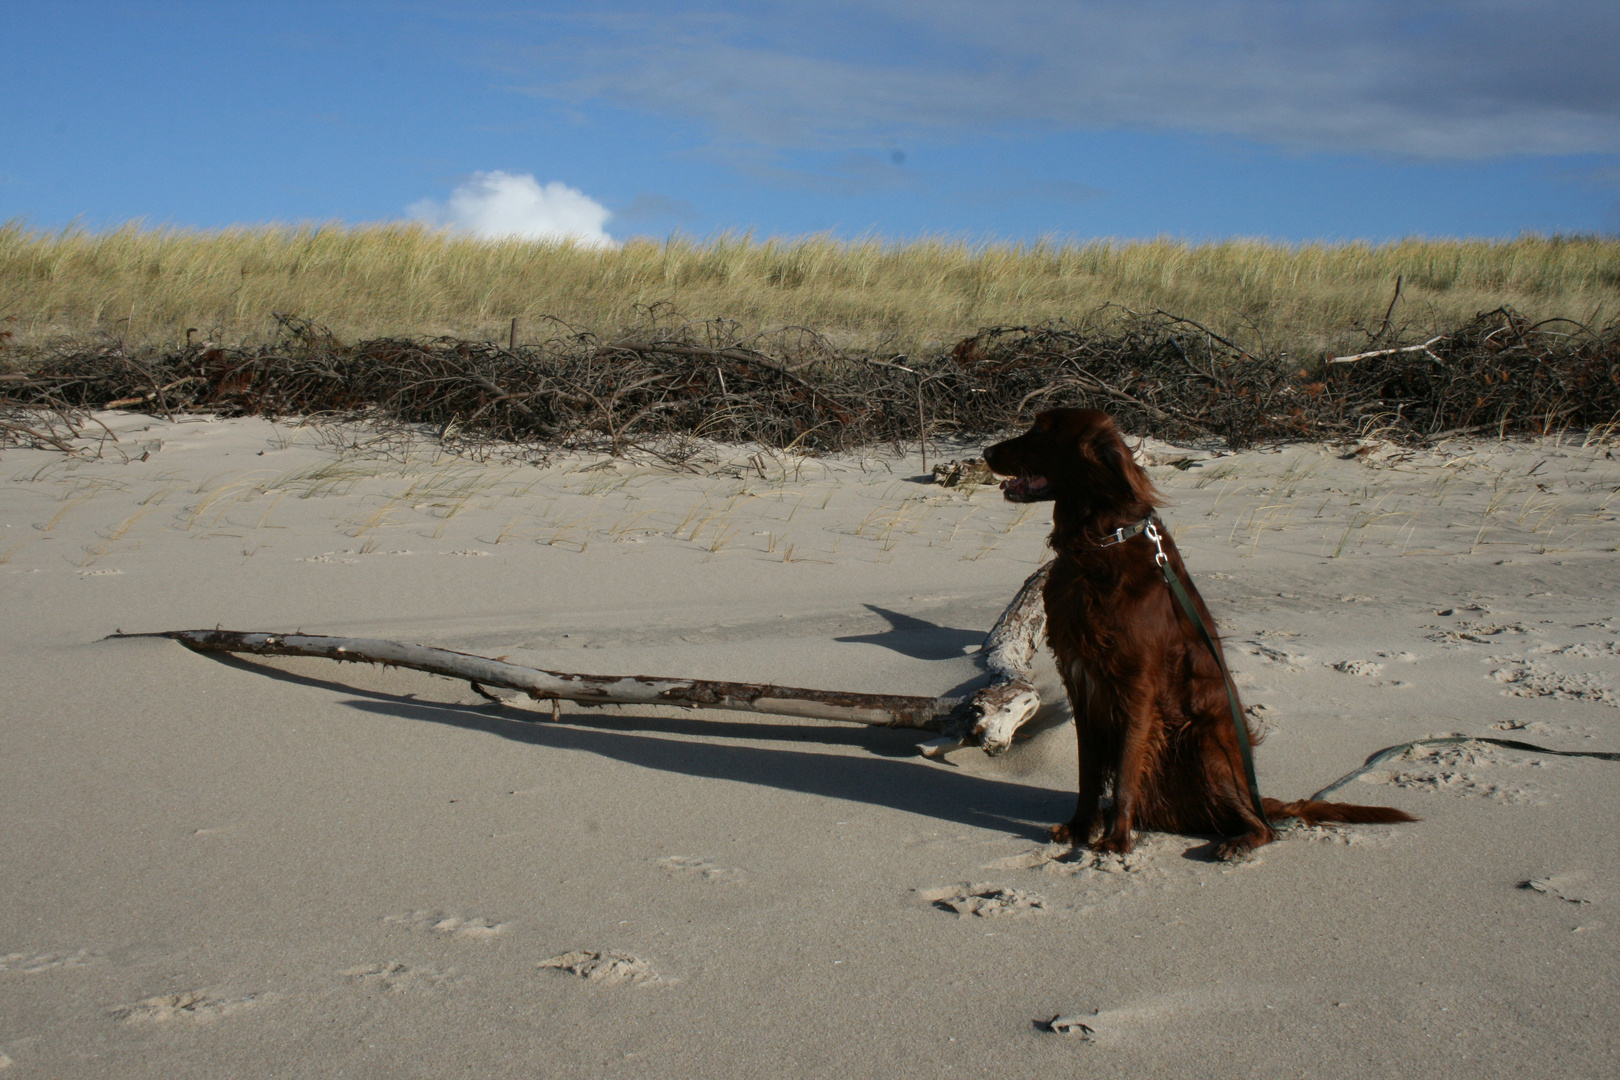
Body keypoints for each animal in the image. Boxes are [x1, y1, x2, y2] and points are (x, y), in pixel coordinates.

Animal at [978, 408, 1412, 861]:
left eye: (1043, 432)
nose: (986, 452)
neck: (1099, 545)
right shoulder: (1081, 679)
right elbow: (1088, 771)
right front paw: (1081, 827)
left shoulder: (1137, 685)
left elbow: (1127, 768)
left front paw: (1115, 839)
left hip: (1201, 739)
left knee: (1264, 826)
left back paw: (1240, 840)